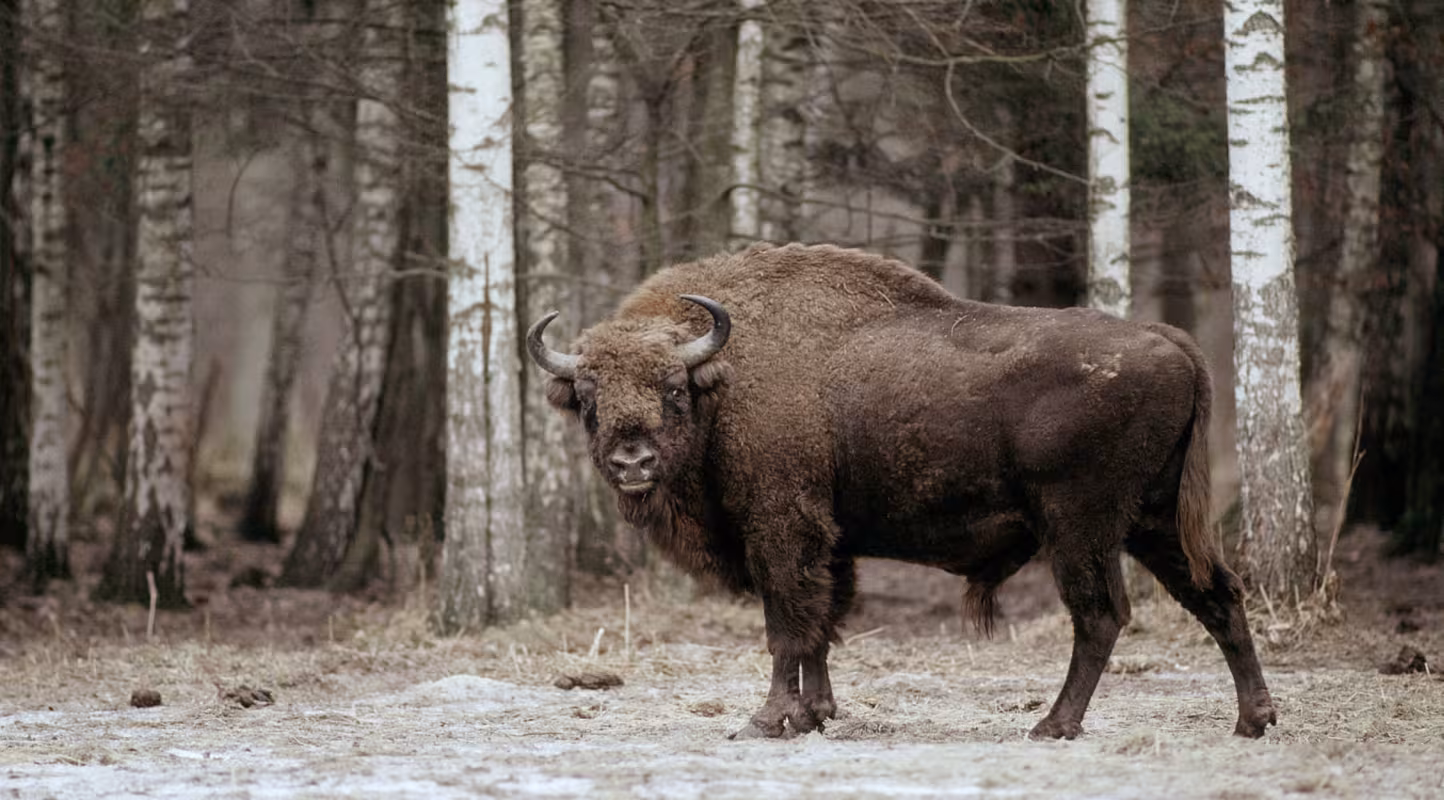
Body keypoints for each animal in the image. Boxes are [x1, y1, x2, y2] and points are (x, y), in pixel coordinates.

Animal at [527, 242, 1276, 740]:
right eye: (588, 395)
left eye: (672, 390)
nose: (632, 459)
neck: (727, 377)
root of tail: (1168, 340)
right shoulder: (829, 546)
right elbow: (821, 628)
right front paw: (815, 715)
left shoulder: (781, 532)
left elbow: (787, 628)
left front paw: (766, 720)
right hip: (1154, 522)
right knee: (1218, 596)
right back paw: (1254, 719)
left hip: (1080, 527)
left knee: (1100, 616)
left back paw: (1052, 725)